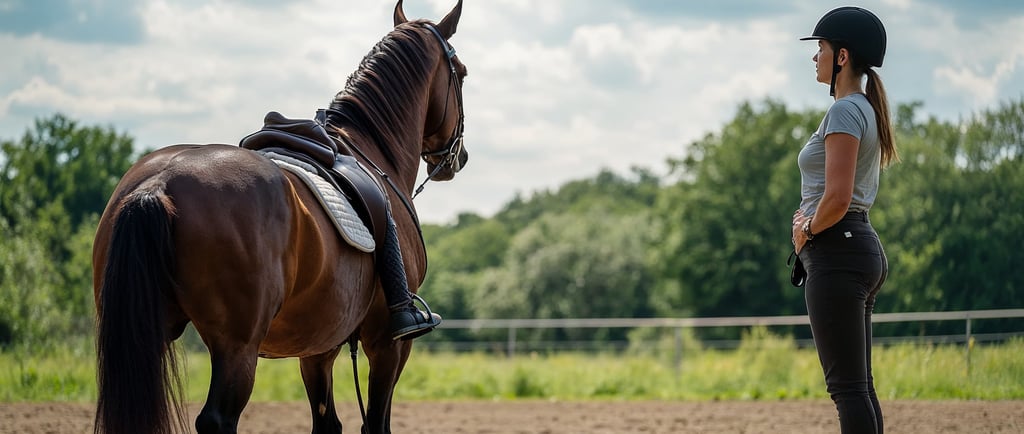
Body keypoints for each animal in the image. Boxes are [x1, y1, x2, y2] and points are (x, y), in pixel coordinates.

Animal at [91, 1, 467, 433]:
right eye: (462, 74)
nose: (458, 157)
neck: (371, 152)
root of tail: (159, 182)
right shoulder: (388, 343)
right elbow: (375, 423)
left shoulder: (318, 346)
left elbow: (327, 422)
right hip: (237, 347)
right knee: (218, 418)